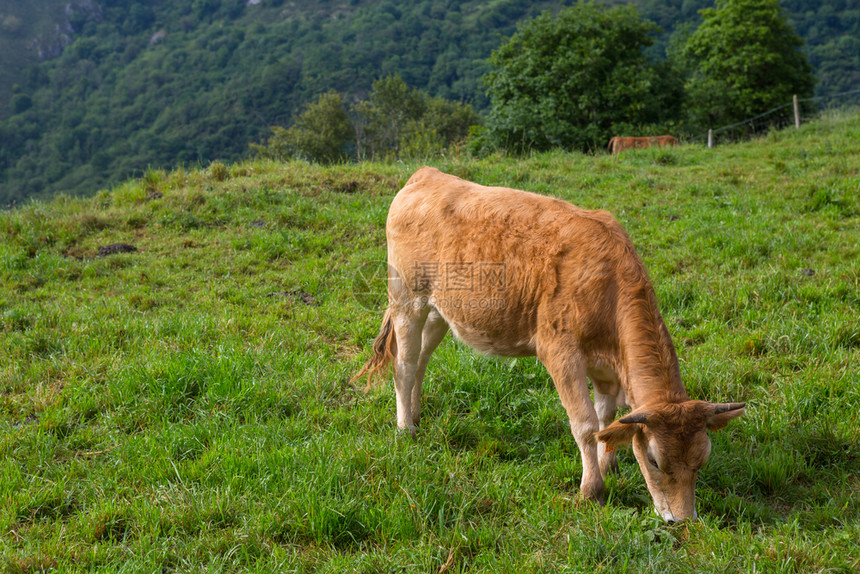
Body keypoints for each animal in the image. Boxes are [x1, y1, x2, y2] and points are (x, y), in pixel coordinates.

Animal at [352, 168, 744, 528]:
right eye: (654, 460)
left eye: (702, 461)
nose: (683, 520)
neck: (607, 286)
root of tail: (426, 174)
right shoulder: (560, 352)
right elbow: (584, 423)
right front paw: (592, 490)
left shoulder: (606, 368)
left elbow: (606, 417)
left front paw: (609, 464)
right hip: (407, 298)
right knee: (403, 365)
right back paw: (406, 428)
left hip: (440, 310)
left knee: (420, 361)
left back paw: (417, 414)